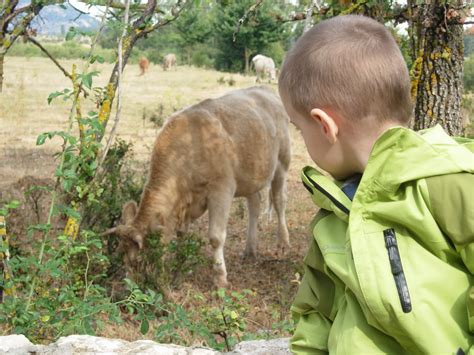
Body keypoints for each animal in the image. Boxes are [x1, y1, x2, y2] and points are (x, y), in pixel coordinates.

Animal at [103, 87, 288, 290]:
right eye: (122, 258)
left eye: (137, 260)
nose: (130, 289)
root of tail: (264, 90)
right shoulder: (186, 202)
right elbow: (182, 234)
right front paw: (178, 267)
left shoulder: (222, 190)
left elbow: (216, 237)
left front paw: (220, 278)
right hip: (251, 175)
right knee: (254, 204)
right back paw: (250, 250)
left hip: (282, 162)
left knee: (279, 201)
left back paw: (283, 244)